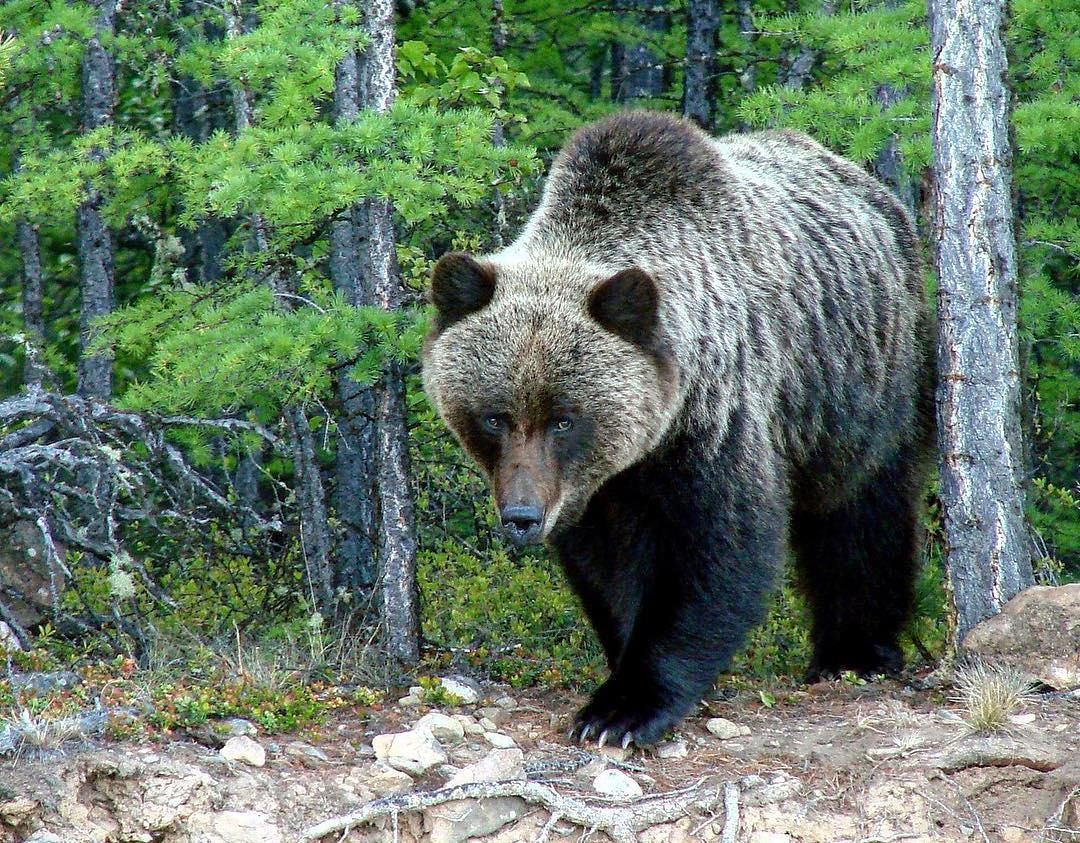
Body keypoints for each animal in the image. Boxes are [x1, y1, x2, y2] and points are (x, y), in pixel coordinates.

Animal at [421, 108, 937, 746]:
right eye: (494, 416)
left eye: (564, 418)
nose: (522, 516)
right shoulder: (600, 487)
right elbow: (609, 566)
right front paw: (620, 663)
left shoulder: (714, 419)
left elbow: (718, 551)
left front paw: (622, 709)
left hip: (862, 385)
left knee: (864, 511)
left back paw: (855, 651)